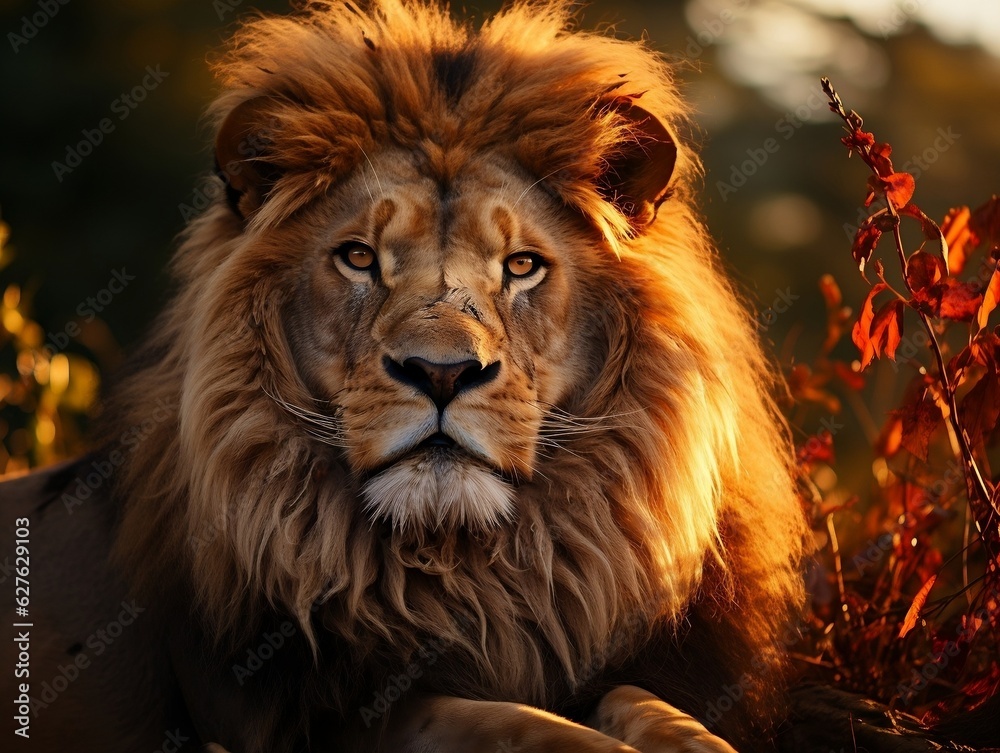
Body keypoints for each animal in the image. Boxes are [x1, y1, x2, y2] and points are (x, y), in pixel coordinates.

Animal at [0, 1, 808, 751]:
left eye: (522, 265)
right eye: (359, 257)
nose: (441, 372)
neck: (468, 572)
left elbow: (644, 702)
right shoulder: (302, 716)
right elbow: (502, 723)